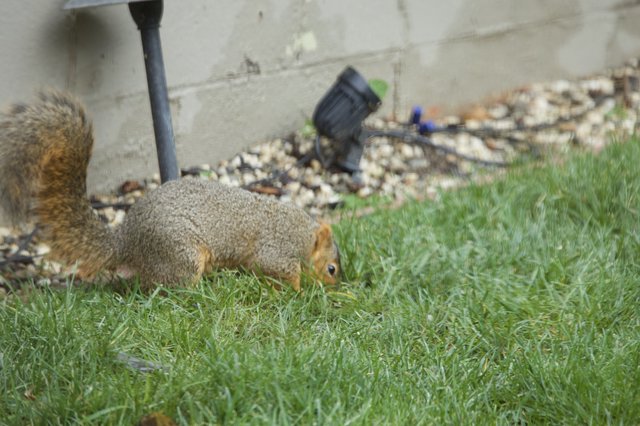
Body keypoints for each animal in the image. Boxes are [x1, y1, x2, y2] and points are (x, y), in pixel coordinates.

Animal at [0, 91, 341, 291]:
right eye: (332, 268)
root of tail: (127, 242)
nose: (335, 288)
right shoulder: (277, 251)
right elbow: (278, 270)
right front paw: (299, 292)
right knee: (164, 287)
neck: (303, 234)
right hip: (181, 254)